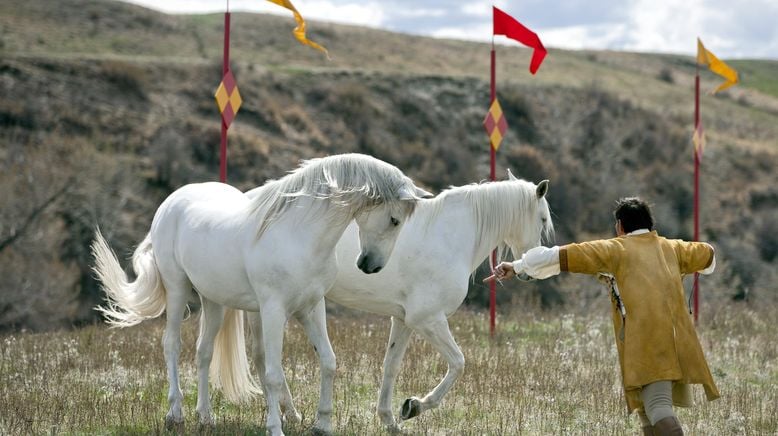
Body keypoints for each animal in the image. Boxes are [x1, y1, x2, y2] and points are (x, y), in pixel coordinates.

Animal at [93, 154, 430, 436]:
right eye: (394, 220)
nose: (370, 265)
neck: (298, 235)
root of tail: (169, 203)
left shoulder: (311, 308)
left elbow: (328, 361)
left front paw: (322, 425)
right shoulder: (273, 310)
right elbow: (273, 373)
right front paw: (276, 428)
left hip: (213, 301)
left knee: (203, 352)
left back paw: (206, 418)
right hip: (177, 291)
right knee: (171, 345)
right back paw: (175, 415)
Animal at [326, 170, 552, 430]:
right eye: (543, 219)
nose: (528, 272)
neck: (448, 237)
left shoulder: (403, 321)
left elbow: (391, 366)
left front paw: (390, 421)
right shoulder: (428, 320)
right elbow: (458, 363)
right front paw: (415, 405)